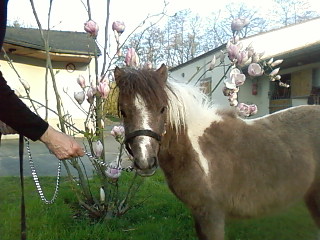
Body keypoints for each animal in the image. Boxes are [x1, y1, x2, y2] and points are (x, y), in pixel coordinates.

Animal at [114, 64, 320, 240]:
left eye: (162, 109)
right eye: (123, 111)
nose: (145, 162)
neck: (197, 151)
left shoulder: (211, 215)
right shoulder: (199, 215)